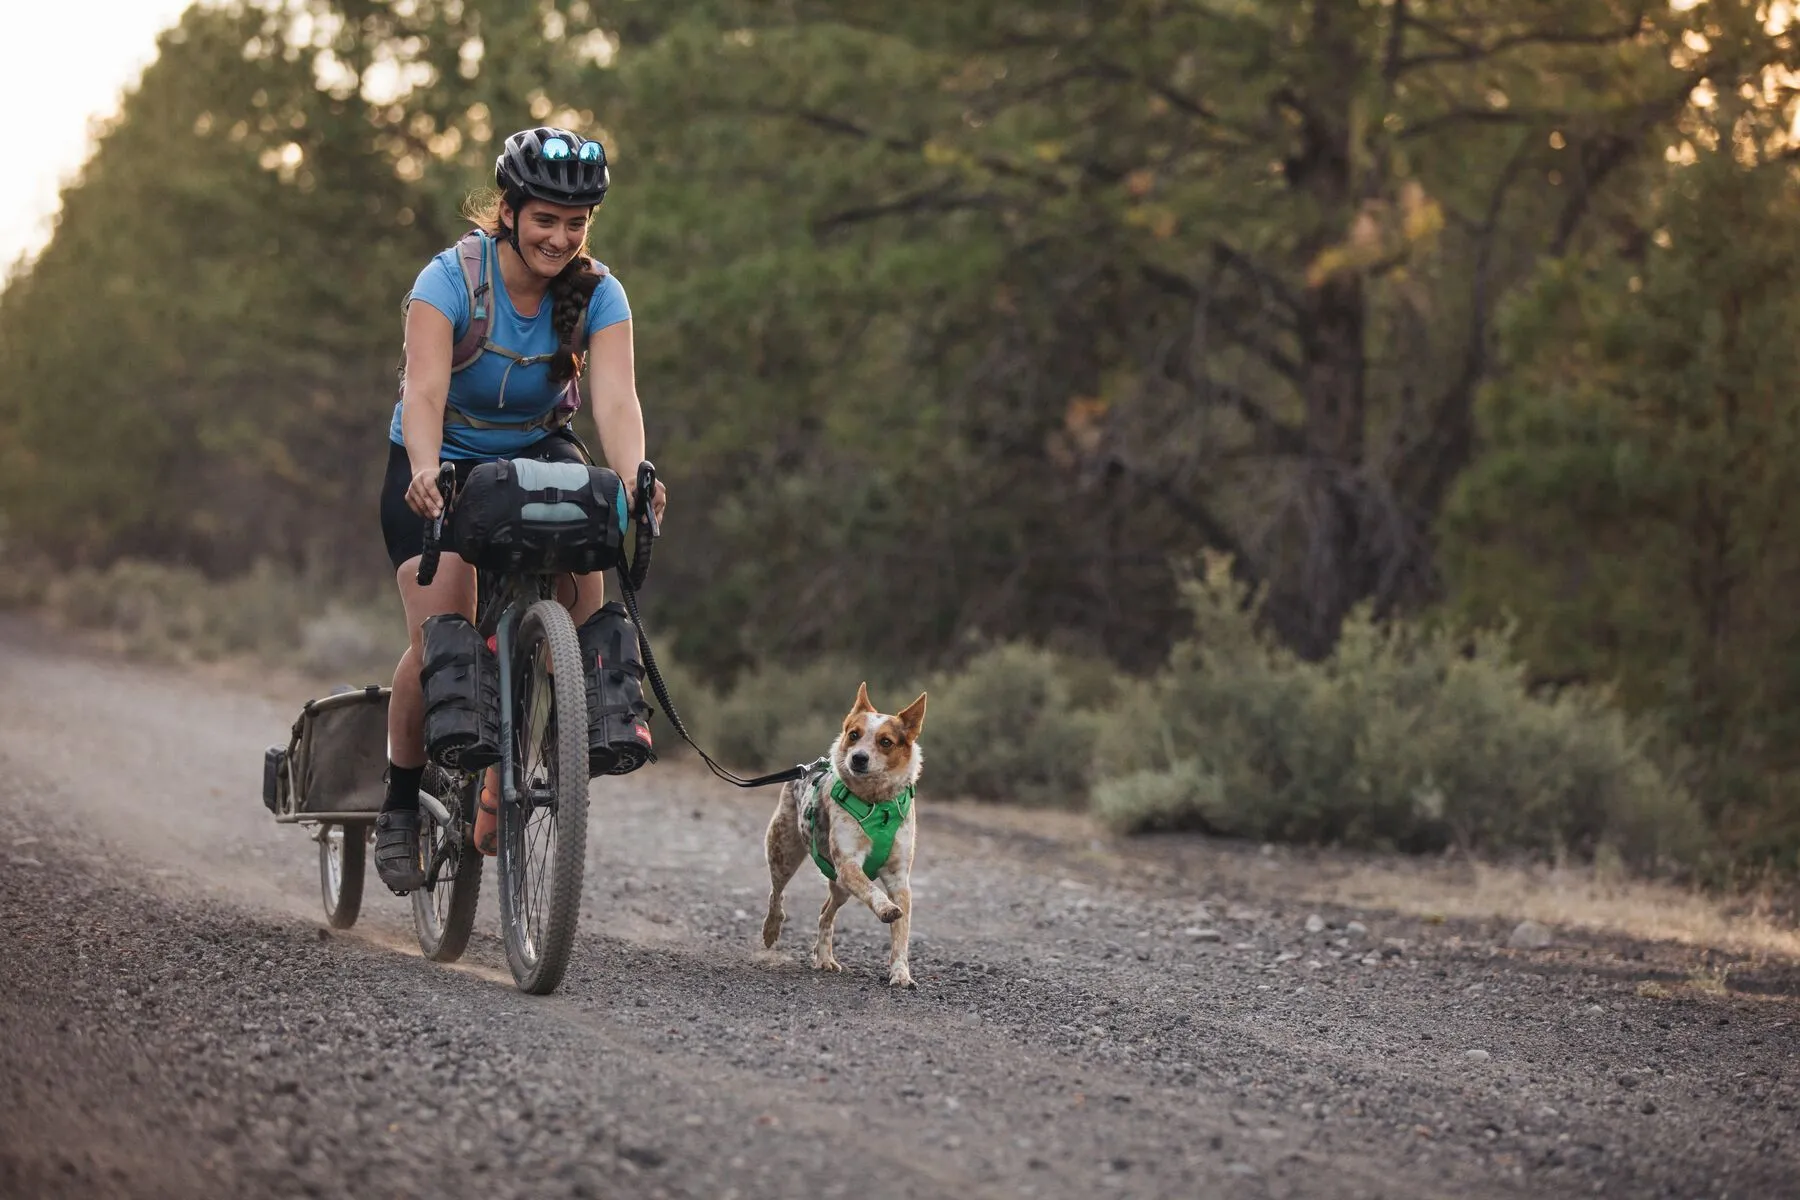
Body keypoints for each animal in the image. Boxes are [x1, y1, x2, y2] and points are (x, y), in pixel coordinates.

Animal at [759, 680, 928, 993]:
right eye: (854, 734)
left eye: (886, 741)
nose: (858, 757)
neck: (877, 803)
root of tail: (804, 771)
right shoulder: (848, 864)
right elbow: (873, 891)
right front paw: (886, 908)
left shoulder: (899, 879)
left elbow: (901, 936)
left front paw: (901, 974)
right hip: (784, 852)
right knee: (777, 893)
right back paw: (771, 928)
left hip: (839, 886)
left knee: (825, 913)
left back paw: (824, 957)